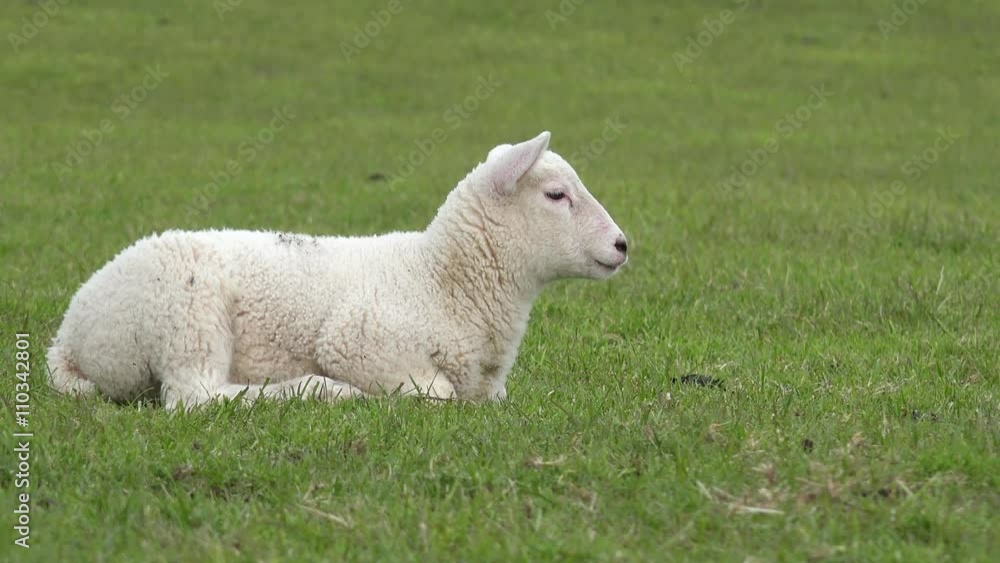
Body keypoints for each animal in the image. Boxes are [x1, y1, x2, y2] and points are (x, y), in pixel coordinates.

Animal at [46, 131, 628, 409]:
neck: (440, 278)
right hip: (186, 310)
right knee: (195, 397)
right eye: (556, 195)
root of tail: (69, 337)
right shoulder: (357, 340)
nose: (623, 245)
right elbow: (435, 393)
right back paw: (320, 390)